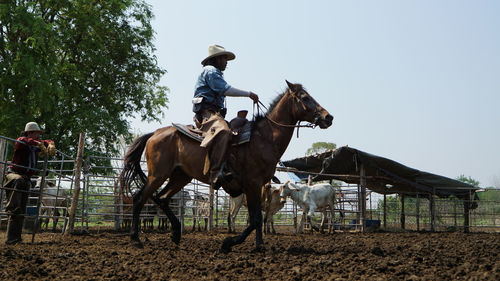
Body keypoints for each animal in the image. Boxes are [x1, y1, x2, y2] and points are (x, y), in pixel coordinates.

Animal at [119, 80, 334, 252]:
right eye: (305, 97)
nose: (328, 117)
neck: (264, 138)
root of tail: (155, 133)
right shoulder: (253, 184)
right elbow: (256, 219)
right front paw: (230, 243)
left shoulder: (257, 186)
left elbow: (257, 218)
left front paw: (258, 245)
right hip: (158, 175)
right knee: (140, 199)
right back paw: (136, 239)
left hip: (181, 176)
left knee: (162, 198)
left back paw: (176, 235)